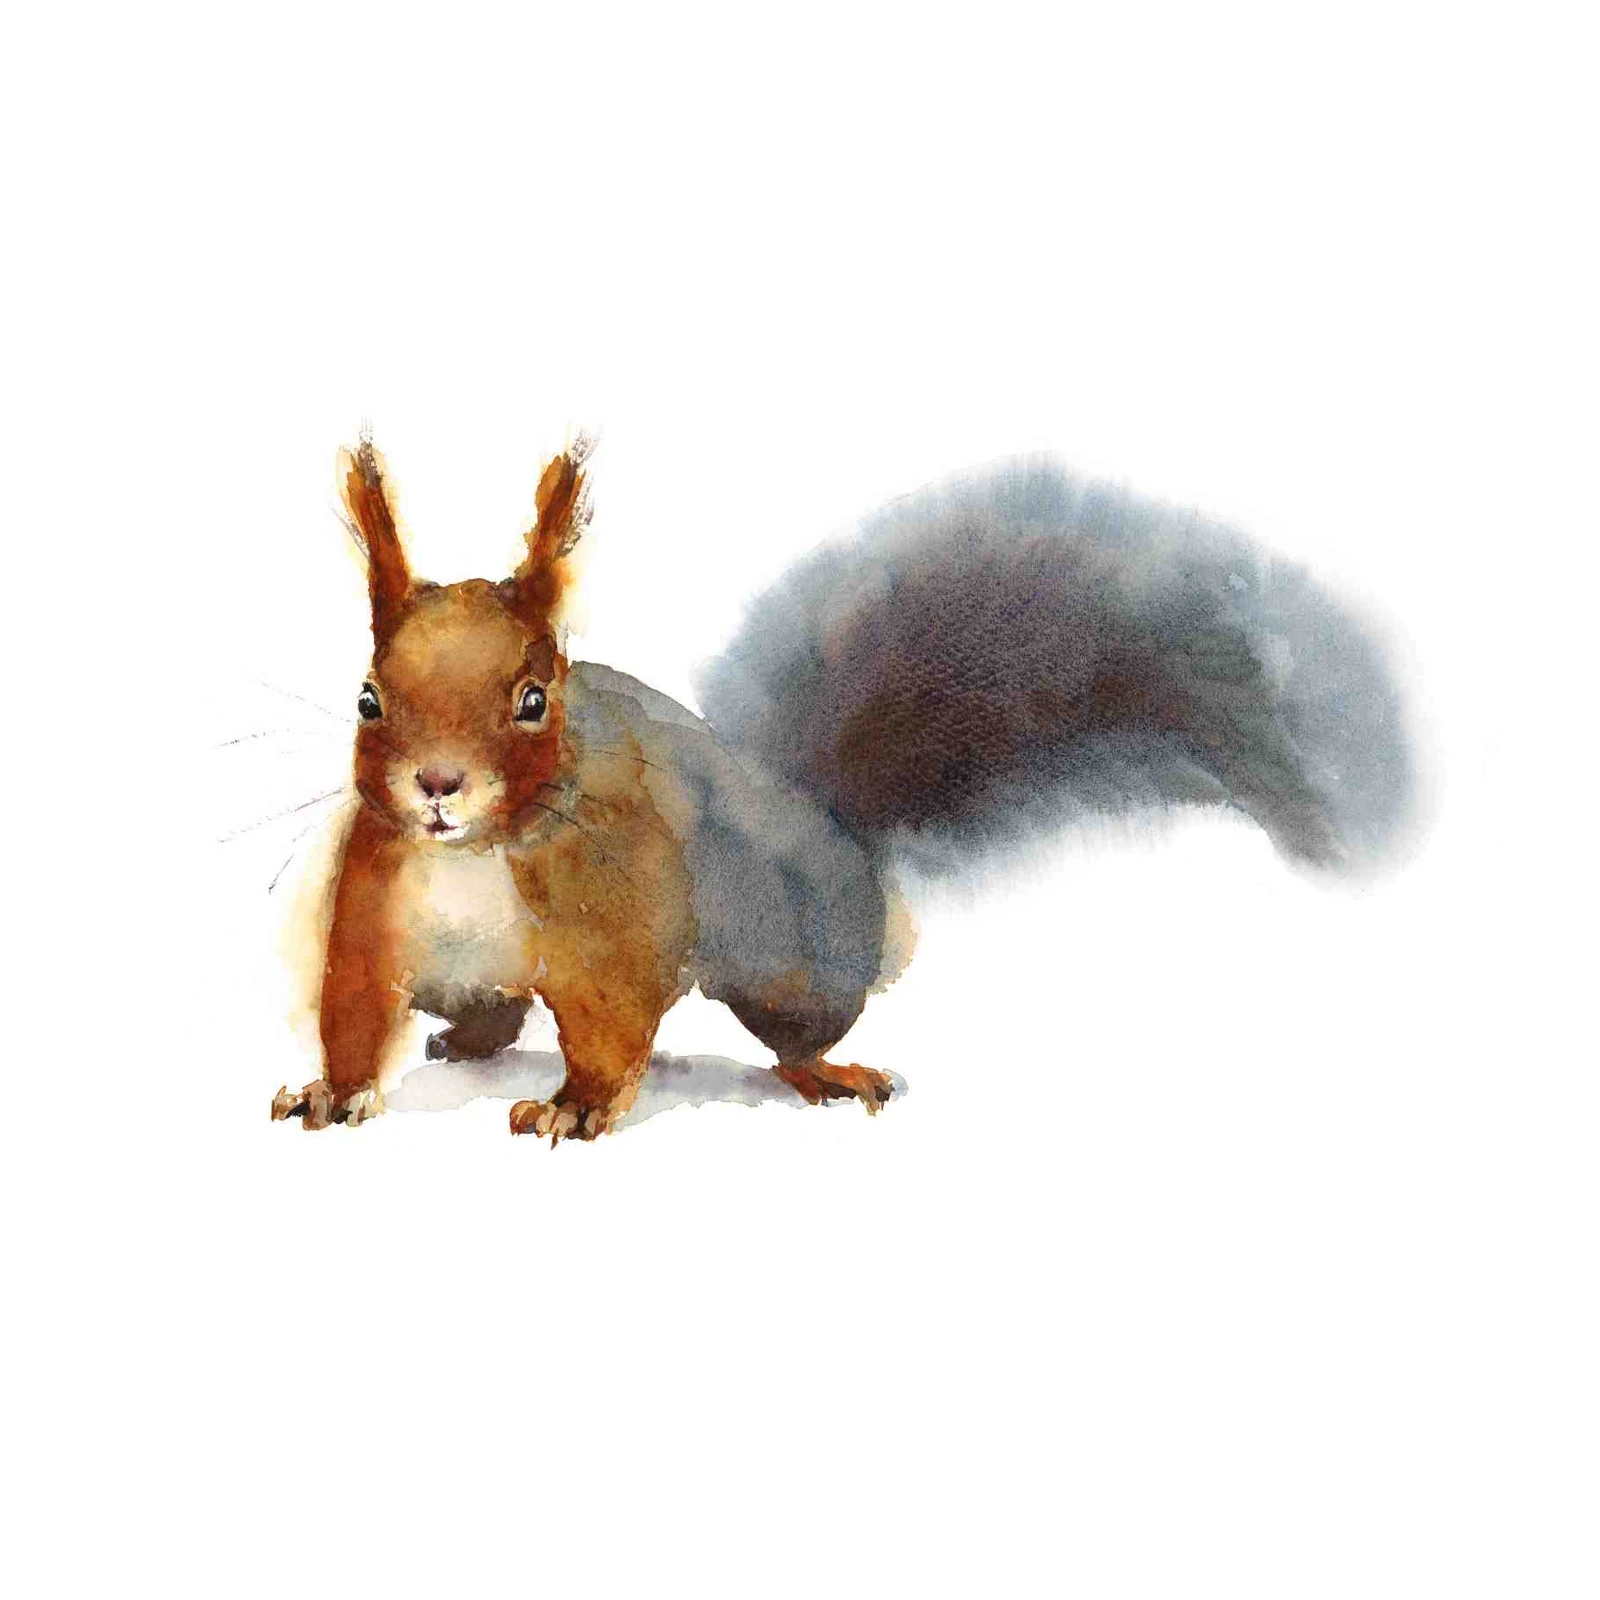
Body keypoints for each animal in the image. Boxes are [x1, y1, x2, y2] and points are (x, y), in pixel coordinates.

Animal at [272, 436, 1417, 1144]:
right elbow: (352, 1004)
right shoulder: (376, 897)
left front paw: (576, 1109)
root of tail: (823, 822)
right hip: (478, 975)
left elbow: (610, 1019)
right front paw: (332, 1091)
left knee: (795, 1035)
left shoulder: (616, 910)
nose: (437, 785)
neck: (474, 853)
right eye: (369, 696)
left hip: (796, 961)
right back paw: (468, 1038)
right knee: (495, 1014)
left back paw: (824, 1075)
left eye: (530, 699)